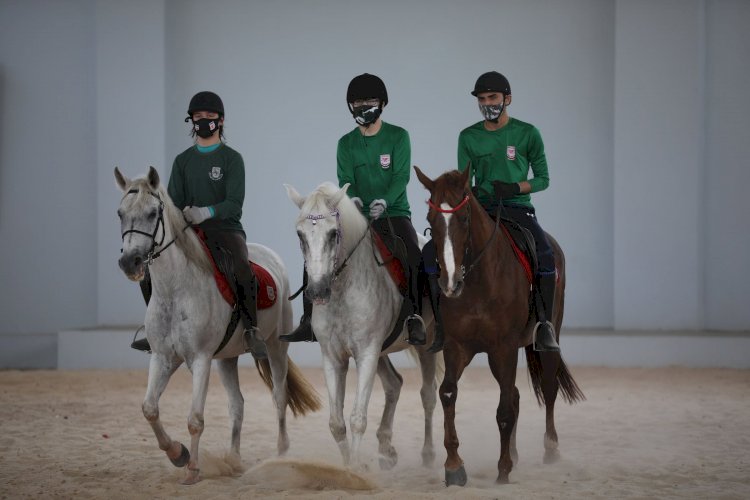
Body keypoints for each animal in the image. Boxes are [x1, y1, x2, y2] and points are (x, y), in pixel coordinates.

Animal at [116, 168, 322, 484]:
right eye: (120, 213)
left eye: (152, 213)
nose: (130, 262)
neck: (176, 289)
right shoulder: (163, 357)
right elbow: (149, 409)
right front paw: (178, 454)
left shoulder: (200, 359)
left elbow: (195, 419)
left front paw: (192, 469)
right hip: (226, 358)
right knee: (237, 404)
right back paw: (234, 459)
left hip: (276, 348)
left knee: (279, 396)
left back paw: (280, 454)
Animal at [286, 183, 440, 468]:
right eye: (300, 234)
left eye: (333, 233)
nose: (317, 291)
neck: (344, 289)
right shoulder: (333, 357)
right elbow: (336, 423)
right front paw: (348, 468)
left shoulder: (367, 353)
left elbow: (357, 419)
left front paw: (357, 469)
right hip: (382, 351)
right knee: (394, 384)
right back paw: (386, 450)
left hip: (426, 344)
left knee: (428, 395)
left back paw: (428, 454)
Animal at [418, 167, 580, 484]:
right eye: (431, 219)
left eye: (464, 217)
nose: (450, 283)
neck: (480, 280)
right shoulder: (457, 347)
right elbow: (448, 393)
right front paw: (454, 465)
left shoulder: (504, 348)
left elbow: (504, 410)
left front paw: (502, 469)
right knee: (515, 394)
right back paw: (515, 454)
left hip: (546, 336)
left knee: (548, 386)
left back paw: (550, 449)